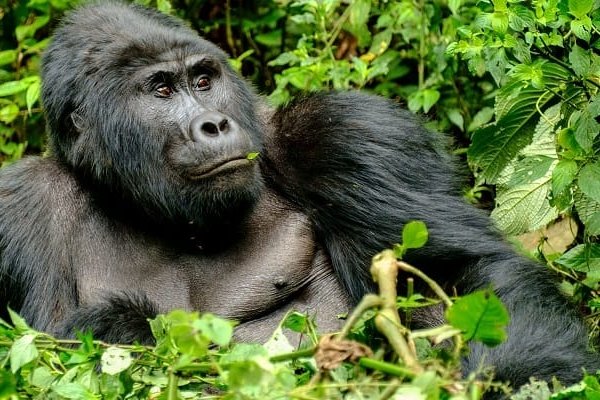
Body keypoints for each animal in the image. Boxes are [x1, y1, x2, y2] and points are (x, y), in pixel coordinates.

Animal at [0, 0, 596, 394]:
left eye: (203, 80)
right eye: (162, 90)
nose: (214, 124)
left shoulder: (346, 133)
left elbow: (457, 278)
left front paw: (513, 382)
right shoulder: (18, 207)